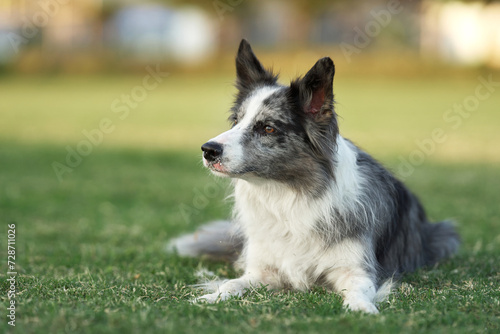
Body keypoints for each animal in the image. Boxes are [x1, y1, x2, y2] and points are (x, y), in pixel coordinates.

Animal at [169, 39, 460, 314]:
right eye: (236, 121)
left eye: (268, 128)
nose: (208, 150)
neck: (287, 195)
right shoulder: (262, 270)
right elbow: (232, 283)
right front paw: (210, 298)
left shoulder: (356, 268)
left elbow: (358, 289)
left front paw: (361, 308)